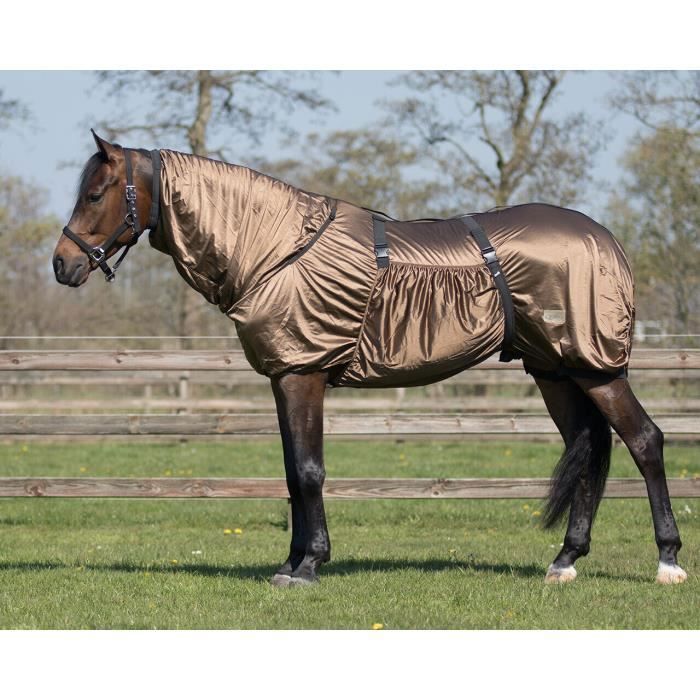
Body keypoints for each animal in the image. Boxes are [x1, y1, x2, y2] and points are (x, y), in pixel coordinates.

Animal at [52, 130, 688, 587]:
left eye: (94, 194)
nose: (62, 264)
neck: (277, 248)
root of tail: (605, 239)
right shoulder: (286, 377)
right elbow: (293, 474)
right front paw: (293, 562)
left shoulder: (302, 375)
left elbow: (309, 471)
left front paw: (308, 566)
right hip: (556, 372)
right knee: (589, 445)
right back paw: (565, 561)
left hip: (595, 367)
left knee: (645, 442)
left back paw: (668, 562)